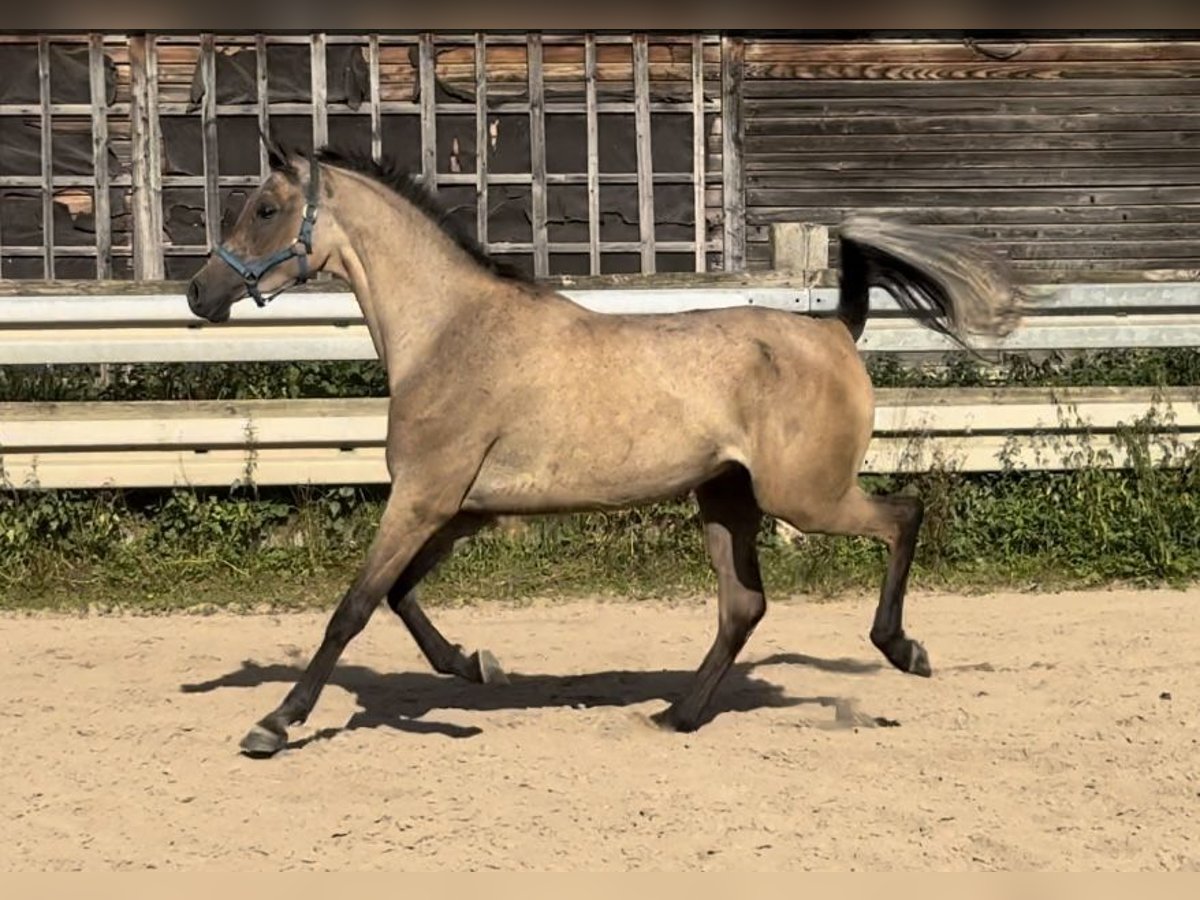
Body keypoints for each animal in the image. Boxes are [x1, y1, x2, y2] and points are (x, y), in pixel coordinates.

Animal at [184, 142, 1022, 763]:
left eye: (265, 208)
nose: (198, 294)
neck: (449, 332)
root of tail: (837, 328)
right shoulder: (460, 507)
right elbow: (400, 596)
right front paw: (476, 666)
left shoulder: (423, 497)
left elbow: (352, 608)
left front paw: (274, 724)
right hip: (726, 499)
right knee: (744, 605)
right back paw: (676, 716)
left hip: (805, 497)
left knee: (903, 514)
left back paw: (903, 649)